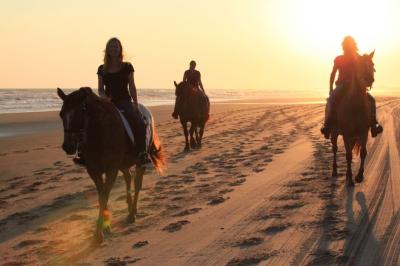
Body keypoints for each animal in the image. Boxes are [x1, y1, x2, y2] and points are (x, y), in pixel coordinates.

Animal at [56, 87, 164, 243]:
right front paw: (105, 226)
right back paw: (130, 207)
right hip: (123, 164)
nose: (68, 146)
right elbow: (102, 195)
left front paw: (98, 234)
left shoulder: (111, 170)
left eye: (80, 114)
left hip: (140, 161)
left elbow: (104, 196)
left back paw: (132, 213)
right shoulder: (93, 171)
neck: (100, 134)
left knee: (137, 183)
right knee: (128, 177)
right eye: (61, 114)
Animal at [330, 51, 376, 186]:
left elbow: (363, 153)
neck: (355, 104)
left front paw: (359, 176)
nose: (369, 80)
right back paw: (335, 171)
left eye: (372, 64)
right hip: (334, 133)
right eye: (360, 64)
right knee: (334, 149)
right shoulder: (346, 133)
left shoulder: (363, 132)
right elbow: (349, 155)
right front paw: (350, 179)